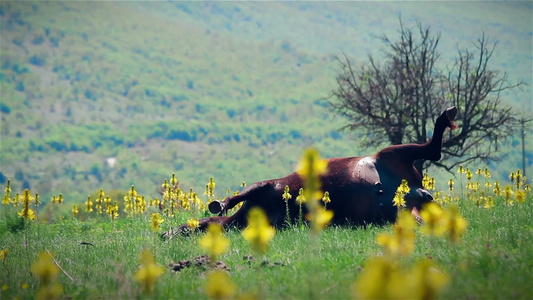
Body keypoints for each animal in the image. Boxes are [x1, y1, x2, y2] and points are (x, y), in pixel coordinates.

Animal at [160, 106, 456, 240]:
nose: (166, 234)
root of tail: (416, 191)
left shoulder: (266, 185)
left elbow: (236, 197)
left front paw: (217, 204)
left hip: (390, 154)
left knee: (432, 151)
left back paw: (447, 116)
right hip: (404, 203)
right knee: (432, 156)